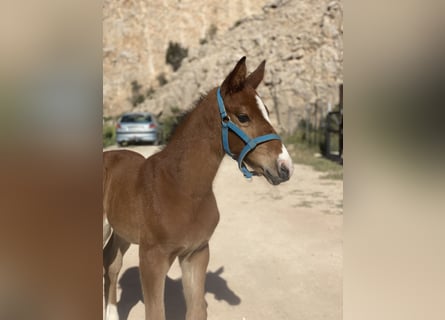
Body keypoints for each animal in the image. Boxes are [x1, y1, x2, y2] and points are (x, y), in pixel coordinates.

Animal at [102, 57, 294, 320]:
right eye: (243, 116)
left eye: (266, 111)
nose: (285, 166)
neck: (182, 188)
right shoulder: (152, 258)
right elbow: (155, 312)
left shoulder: (197, 253)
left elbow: (196, 310)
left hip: (123, 232)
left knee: (112, 263)